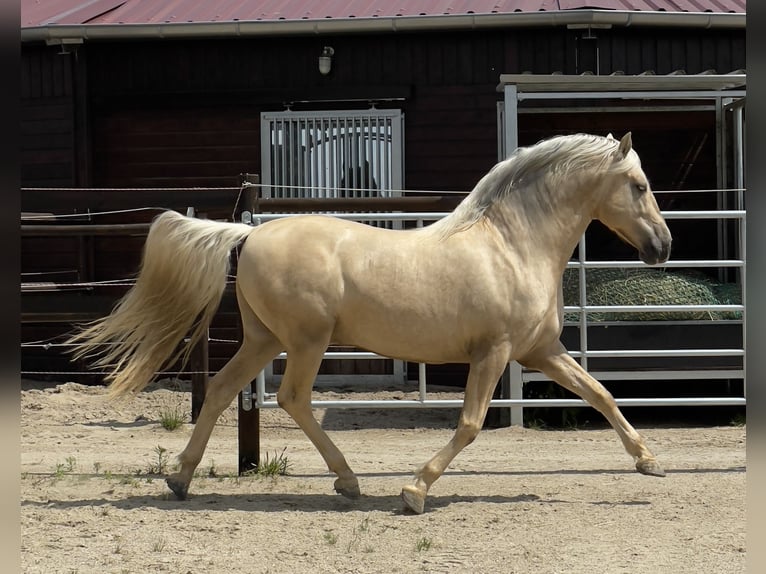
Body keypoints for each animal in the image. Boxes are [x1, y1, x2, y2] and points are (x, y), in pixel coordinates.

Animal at [70, 133, 672, 516]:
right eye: (640, 185)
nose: (663, 246)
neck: (513, 245)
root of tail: (250, 231)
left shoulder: (541, 350)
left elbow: (600, 394)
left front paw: (649, 462)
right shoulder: (495, 353)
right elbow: (471, 424)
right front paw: (415, 492)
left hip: (265, 340)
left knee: (219, 390)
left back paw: (180, 478)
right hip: (306, 341)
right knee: (291, 399)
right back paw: (348, 480)